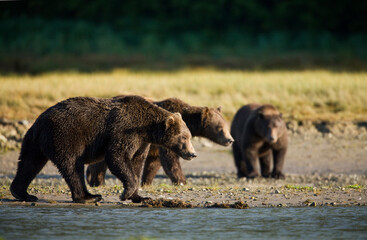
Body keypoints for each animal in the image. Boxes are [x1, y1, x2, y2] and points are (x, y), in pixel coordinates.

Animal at [10, 94, 197, 203]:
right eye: (184, 138)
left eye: (189, 136)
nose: (192, 153)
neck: (147, 128)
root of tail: (39, 121)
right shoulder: (125, 131)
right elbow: (117, 157)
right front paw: (126, 193)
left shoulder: (142, 142)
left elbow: (136, 163)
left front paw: (139, 196)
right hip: (65, 136)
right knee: (72, 165)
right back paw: (88, 197)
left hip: (34, 141)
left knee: (29, 163)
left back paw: (23, 193)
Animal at [87, 96, 233, 187]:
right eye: (220, 128)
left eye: (226, 126)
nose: (230, 140)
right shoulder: (169, 138)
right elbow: (170, 159)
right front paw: (182, 181)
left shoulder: (158, 144)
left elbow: (154, 163)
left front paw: (146, 182)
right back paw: (98, 182)